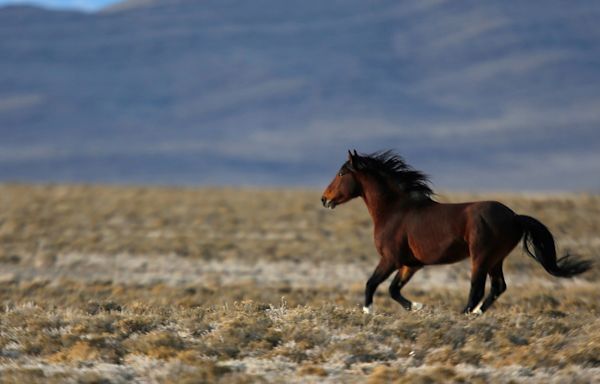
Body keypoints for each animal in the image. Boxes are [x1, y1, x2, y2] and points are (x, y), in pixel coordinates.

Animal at [322, 150, 592, 316]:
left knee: (477, 287)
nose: (324, 199)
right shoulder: (411, 264)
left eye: (342, 173)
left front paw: (369, 312)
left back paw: (465, 313)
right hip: (495, 259)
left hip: (481, 257)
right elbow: (393, 289)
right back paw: (476, 313)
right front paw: (418, 307)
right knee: (498, 287)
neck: (395, 210)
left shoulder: (390, 259)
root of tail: (515, 217)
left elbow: (372, 283)